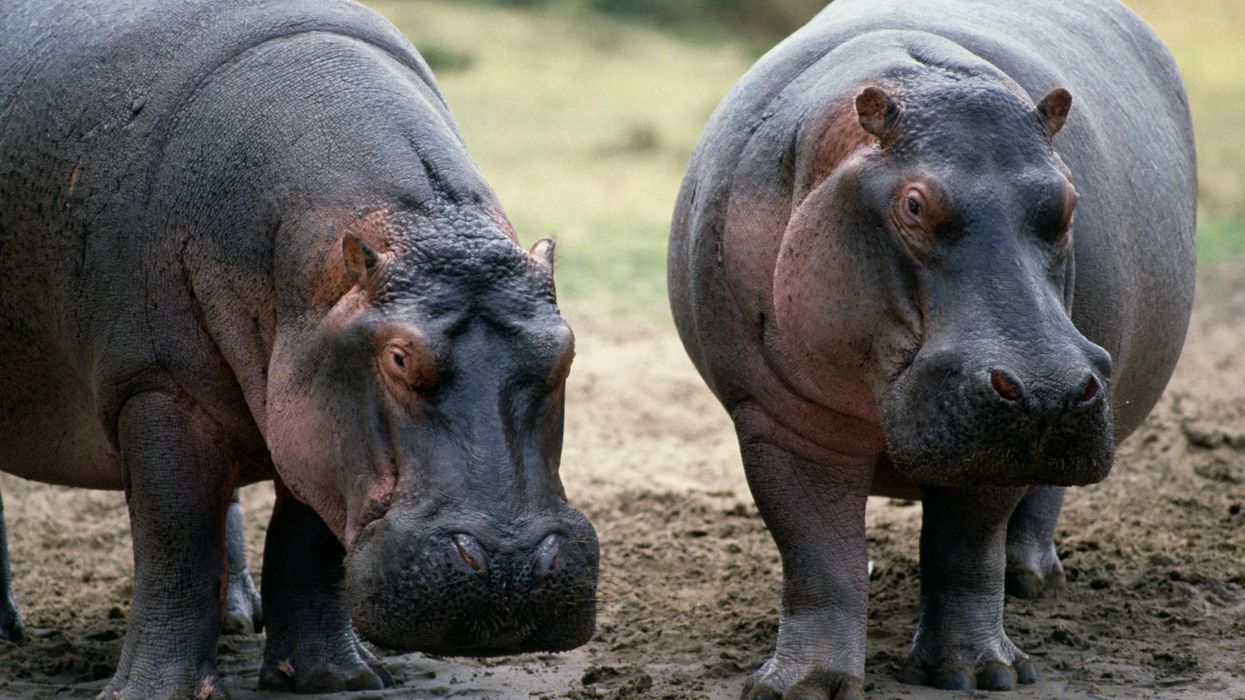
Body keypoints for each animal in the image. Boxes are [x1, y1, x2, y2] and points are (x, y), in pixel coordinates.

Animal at [0, 0, 598, 696]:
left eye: (566, 349)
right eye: (398, 357)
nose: (511, 564)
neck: (423, 226)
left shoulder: (316, 408)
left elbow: (307, 543)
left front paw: (339, 677)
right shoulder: (155, 386)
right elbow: (174, 539)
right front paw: (150, 692)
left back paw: (238, 618)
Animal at [668, 0, 1195, 696]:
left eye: (1068, 200)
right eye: (914, 204)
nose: (1048, 391)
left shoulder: (1008, 437)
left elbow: (966, 550)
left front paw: (981, 673)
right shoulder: (781, 419)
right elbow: (817, 555)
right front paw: (804, 685)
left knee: (1039, 501)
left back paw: (1031, 581)